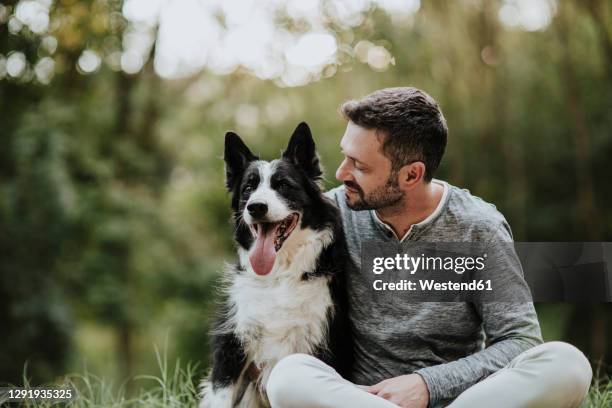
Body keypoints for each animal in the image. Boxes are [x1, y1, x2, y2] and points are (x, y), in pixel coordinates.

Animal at [200, 122, 352, 408]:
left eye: (283, 185)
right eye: (248, 188)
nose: (256, 207)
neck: (278, 276)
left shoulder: (320, 344)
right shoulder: (232, 349)